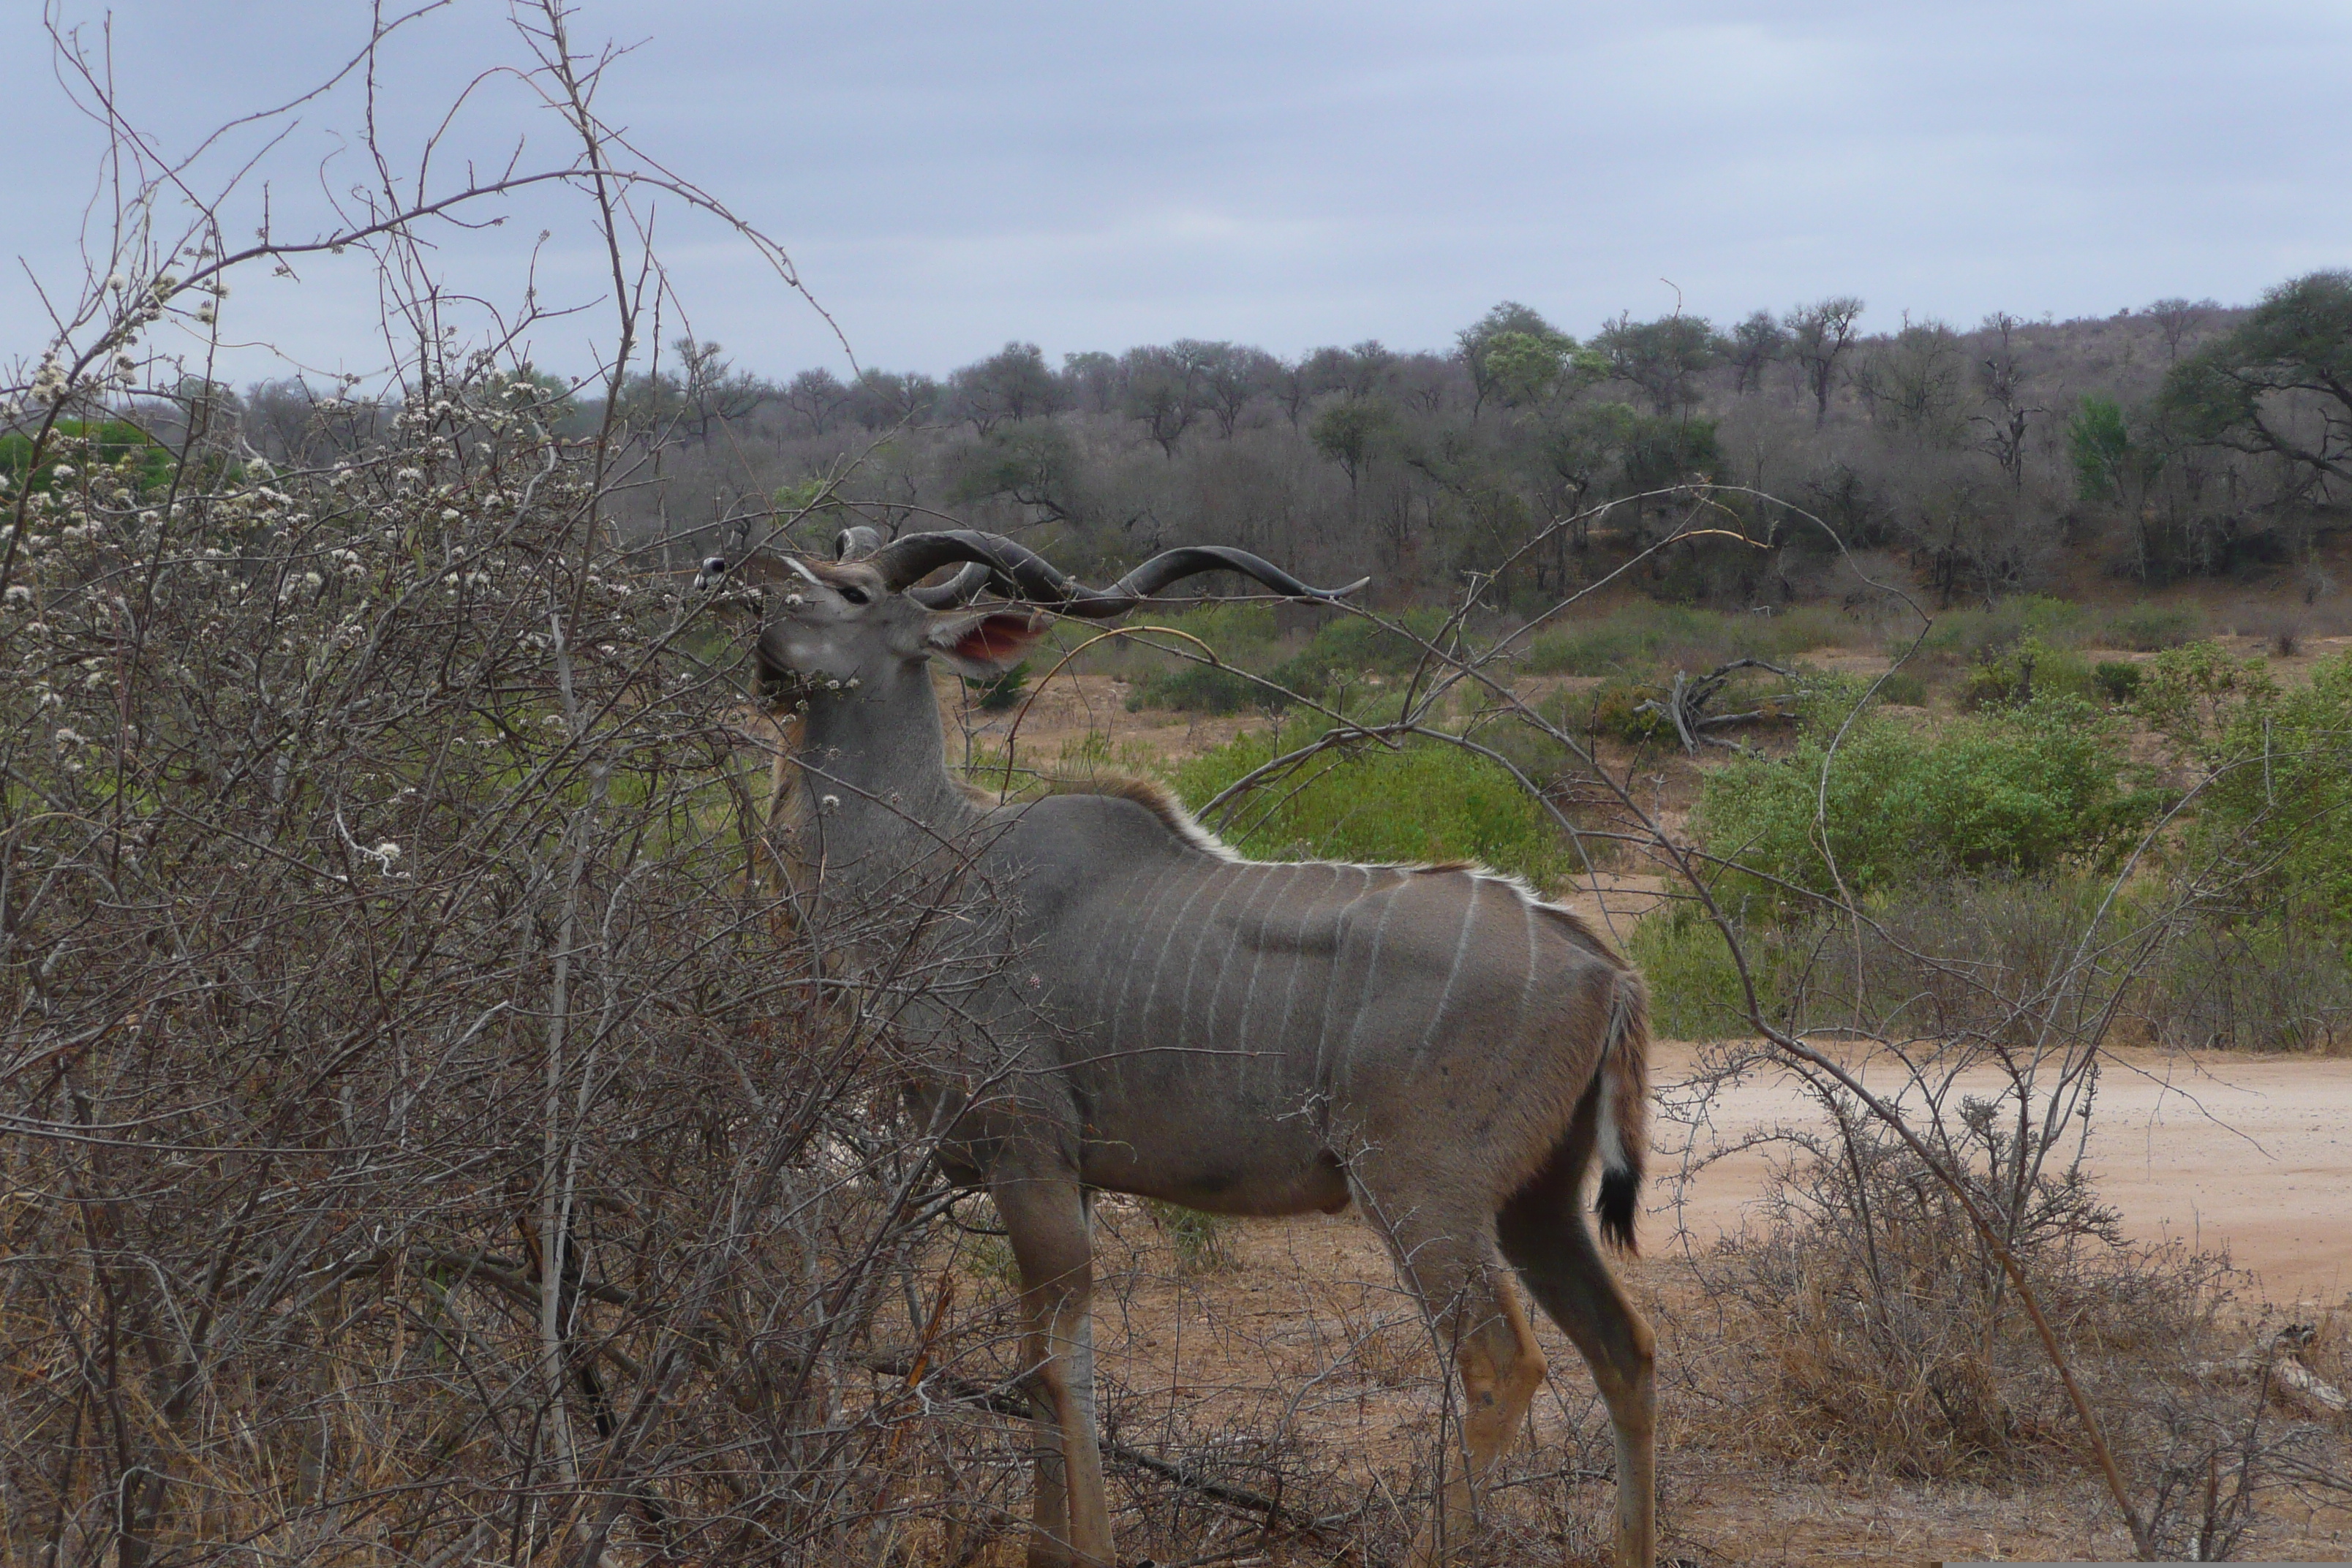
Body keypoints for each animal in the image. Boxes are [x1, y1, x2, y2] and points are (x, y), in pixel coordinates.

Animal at [696, 531, 1656, 1568]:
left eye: (851, 591)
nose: (724, 571)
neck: (938, 863)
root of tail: (1603, 968)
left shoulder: (1026, 1148)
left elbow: (1052, 1362)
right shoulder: (1060, 1171)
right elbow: (1054, 1362)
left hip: (1422, 1191)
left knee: (1497, 1364)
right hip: (1534, 1204)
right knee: (1626, 1349)